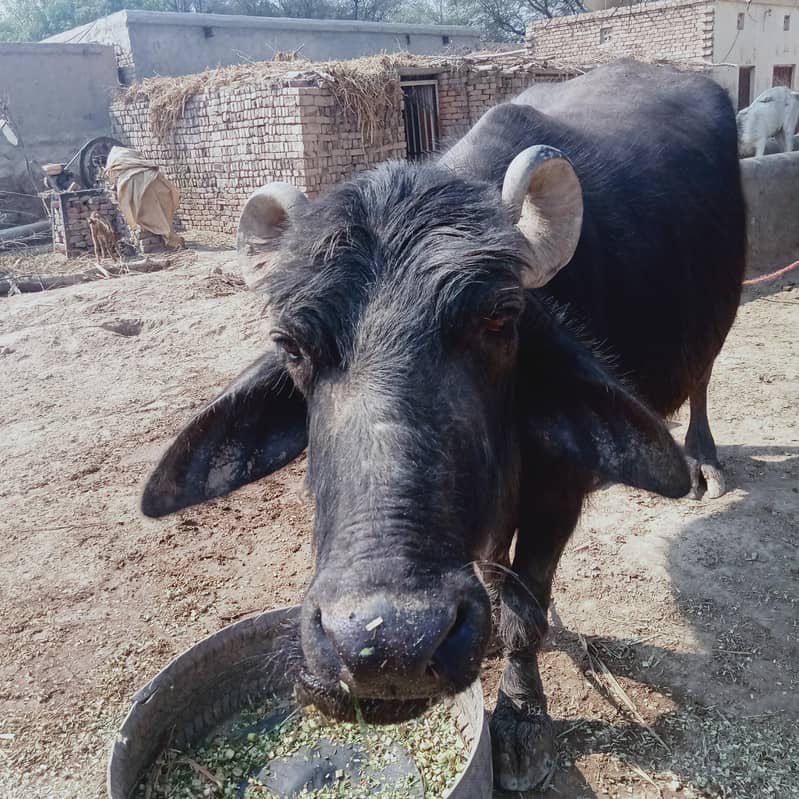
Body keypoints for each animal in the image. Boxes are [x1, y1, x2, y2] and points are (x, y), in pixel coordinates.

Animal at [141, 60, 745, 790]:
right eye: (291, 344)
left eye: (499, 318)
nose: (388, 647)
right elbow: (494, 569)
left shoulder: (555, 492)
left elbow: (524, 612)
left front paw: (521, 720)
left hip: (720, 315)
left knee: (705, 377)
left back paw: (704, 462)